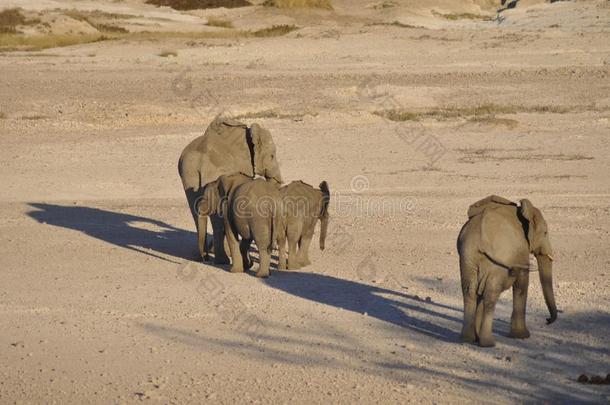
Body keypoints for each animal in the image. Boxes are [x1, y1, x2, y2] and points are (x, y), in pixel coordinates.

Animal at [176, 115, 280, 264]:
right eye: (272, 156)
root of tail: (200, 162)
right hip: (211, 173)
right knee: (216, 219)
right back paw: (222, 259)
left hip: (188, 174)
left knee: (196, 212)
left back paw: (203, 256)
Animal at [456, 194, 556, 346]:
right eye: (545, 232)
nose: (547, 320)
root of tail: (480, 237)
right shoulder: (521, 254)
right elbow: (522, 284)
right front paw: (522, 336)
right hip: (499, 259)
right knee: (491, 293)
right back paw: (488, 343)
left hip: (467, 255)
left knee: (470, 290)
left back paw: (467, 339)